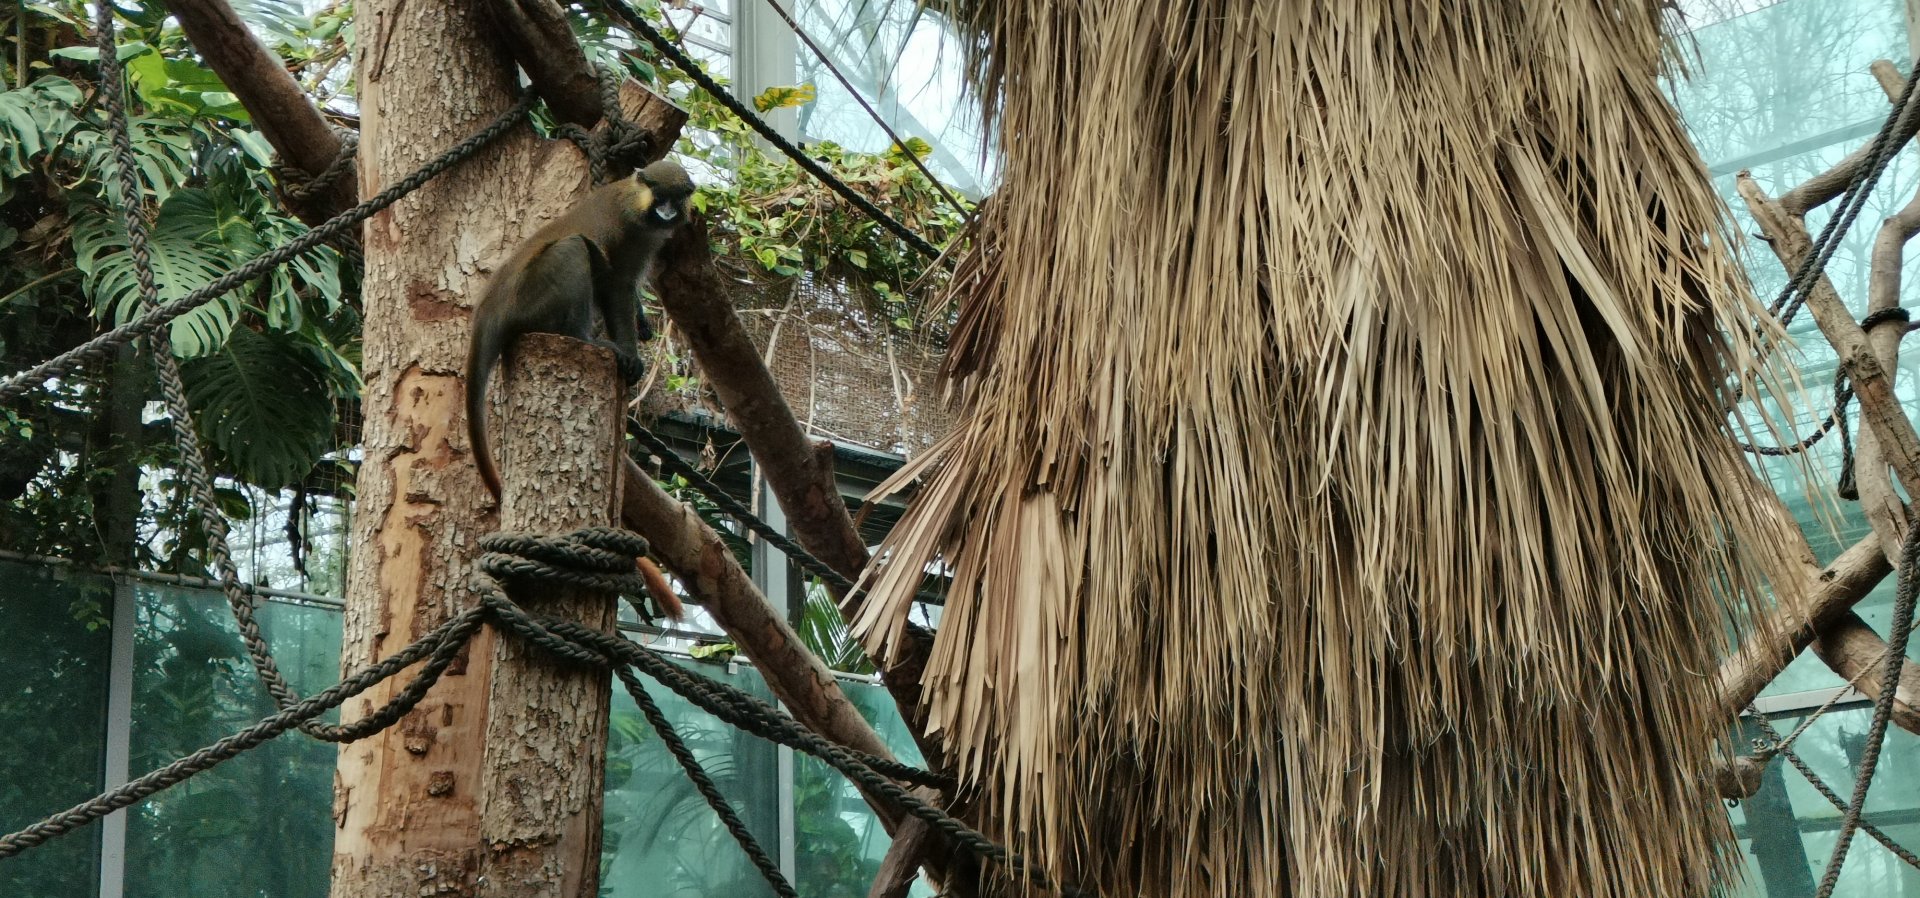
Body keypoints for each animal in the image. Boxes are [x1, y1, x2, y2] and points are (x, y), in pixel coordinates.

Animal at [466, 158, 695, 622]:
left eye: (678, 197)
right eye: (659, 194)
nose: (667, 212)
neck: (635, 202)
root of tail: (490, 308)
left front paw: (642, 323)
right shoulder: (624, 234)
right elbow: (613, 282)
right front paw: (630, 352)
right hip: (532, 297)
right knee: (574, 250)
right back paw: (585, 338)